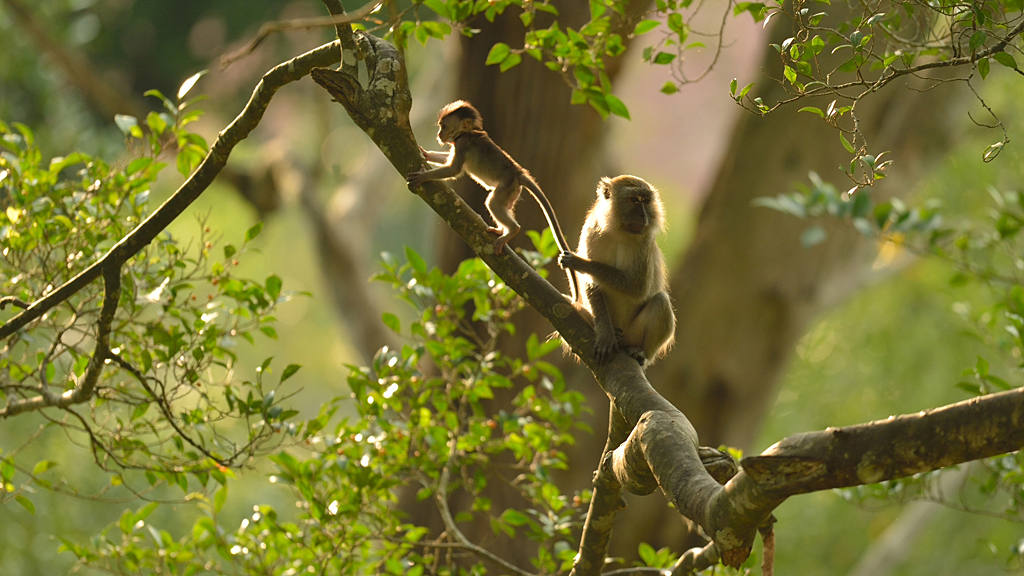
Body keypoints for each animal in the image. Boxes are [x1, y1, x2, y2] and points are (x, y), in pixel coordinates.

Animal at [403, 100, 581, 303]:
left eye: (444, 126)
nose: (439, 135)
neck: (466, 133)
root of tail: (518, 173)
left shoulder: (462, 145)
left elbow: (454, 170)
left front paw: (423, 176)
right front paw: (425, 154)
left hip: (507, 186)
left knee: (493, 203)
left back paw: (511, 230)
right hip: (512, 192)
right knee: (501, 206)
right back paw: (501, 230)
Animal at [557, 172, 675, 364]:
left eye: (646, 201)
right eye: (634, 199)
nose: (643, 216)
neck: (618, 231)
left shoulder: (645, 241)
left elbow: (637, 287)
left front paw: (579, 263)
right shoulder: (590, 230)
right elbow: (592, 284)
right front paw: (605, 335)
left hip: (633, 334)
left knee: (661, 301)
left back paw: (642, 354)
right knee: (567, 303)